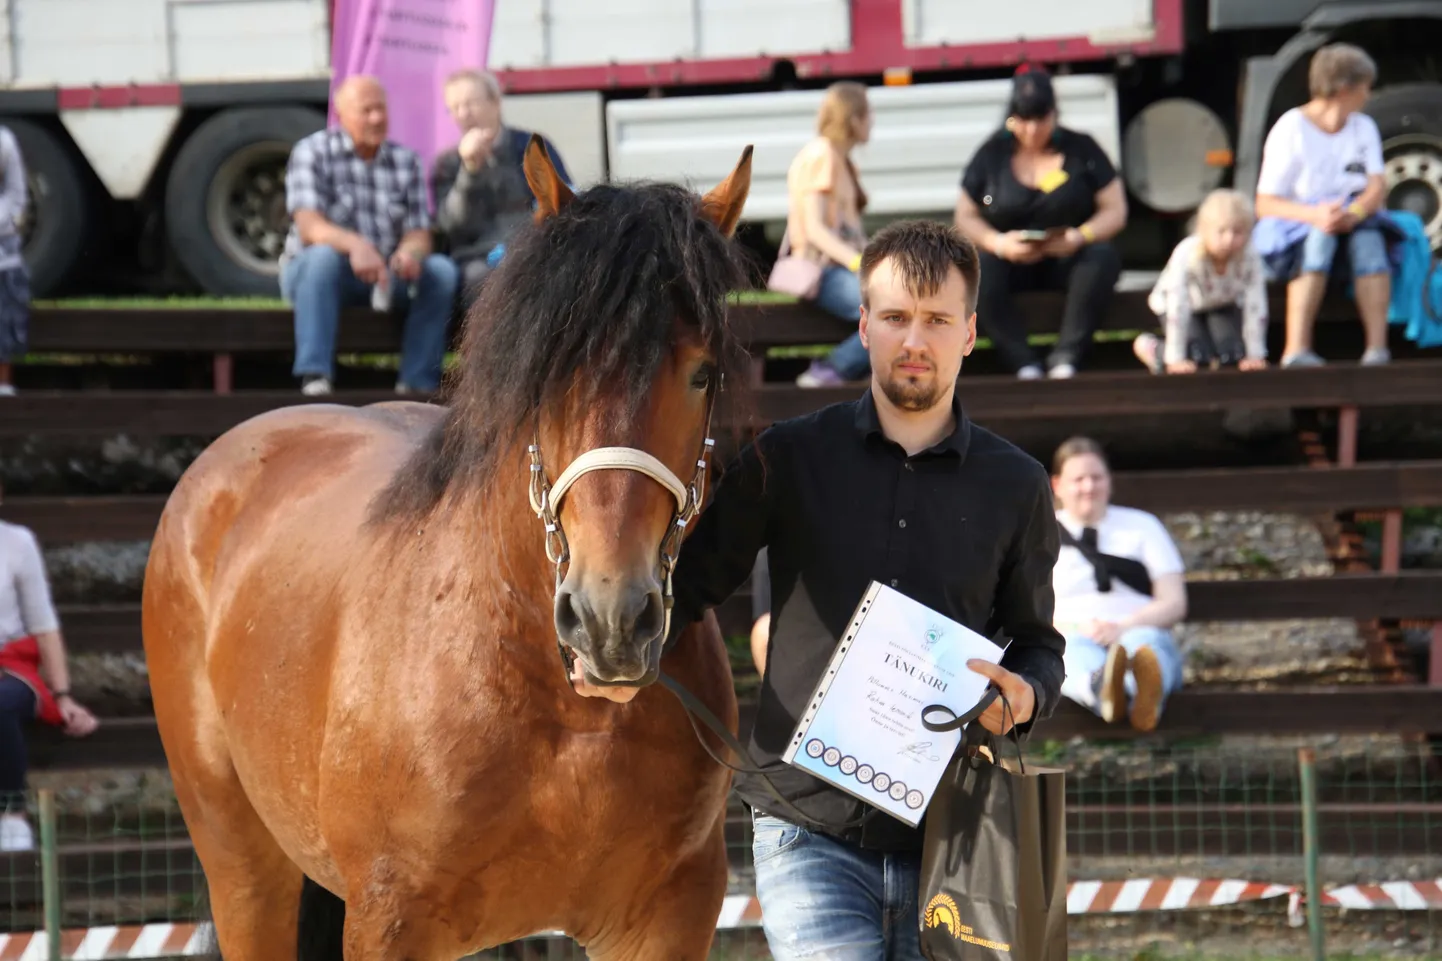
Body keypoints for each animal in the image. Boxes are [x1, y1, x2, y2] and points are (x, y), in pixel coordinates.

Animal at [140, 136, 755, 958]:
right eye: (548, 367)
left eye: (702, 372)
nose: (609, 622)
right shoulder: (389, 922)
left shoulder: (669, 918)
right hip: (243, 868)